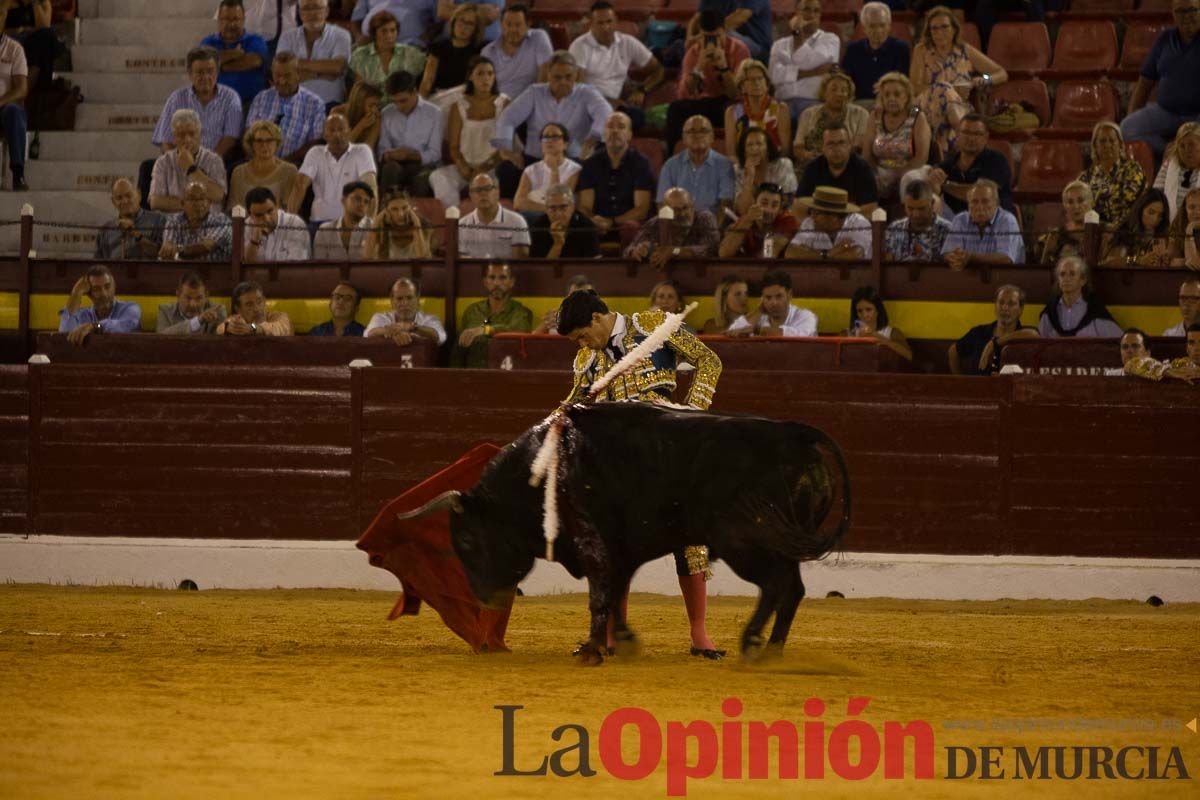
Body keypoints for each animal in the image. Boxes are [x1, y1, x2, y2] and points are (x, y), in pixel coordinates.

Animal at [408, 402, 849, 666]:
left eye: (466, 541)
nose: (486, 599)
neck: (543, 474)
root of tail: (796, 435)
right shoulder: (622, 551)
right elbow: (616, 593)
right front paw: (619, 641)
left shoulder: (593, 544)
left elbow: (600, 597)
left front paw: (590, 651)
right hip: (785, 542)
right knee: (793, 588)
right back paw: (774, 649)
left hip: (745, 543)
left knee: (775, 586)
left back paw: (753, 642)